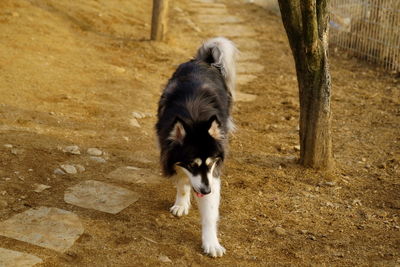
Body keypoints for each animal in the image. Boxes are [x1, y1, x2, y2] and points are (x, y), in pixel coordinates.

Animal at [155, 37, 238, 258]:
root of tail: (205, 61)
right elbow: (183, 183)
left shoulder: (213, 175)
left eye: (209, 164)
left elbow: (209, 213)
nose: (206, 191)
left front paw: (211, 243)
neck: (194, 118)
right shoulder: (172, 156)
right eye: (192, 165)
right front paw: (181, 204)